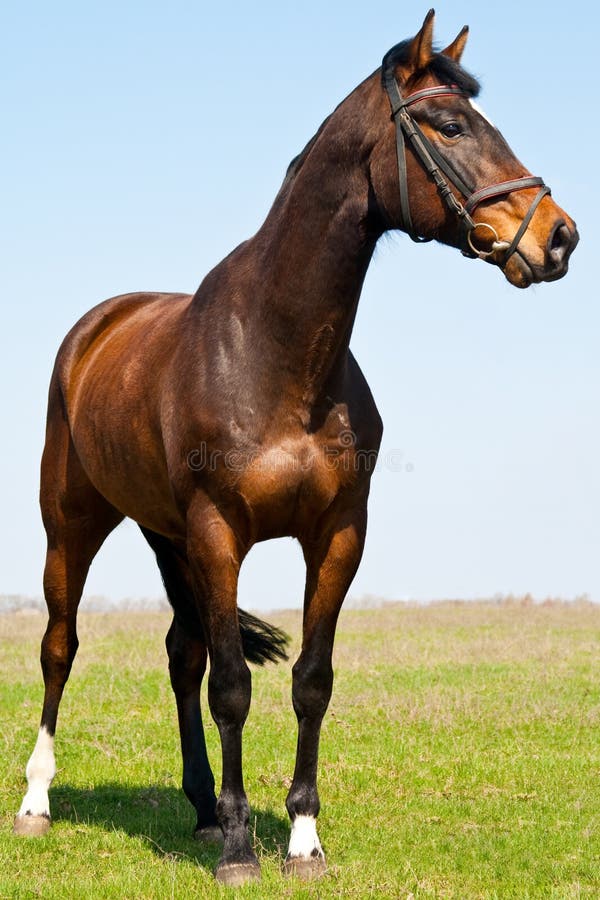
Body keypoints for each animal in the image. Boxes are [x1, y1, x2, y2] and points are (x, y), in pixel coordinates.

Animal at [14, 10, 578, 886]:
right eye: (450, 124)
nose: (558, 238)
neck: (275, 352)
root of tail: (98, 328)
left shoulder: (337, 534)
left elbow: (310, 681)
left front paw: (301, 840)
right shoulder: (219, 533)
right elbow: (233, 686)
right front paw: (242, 852)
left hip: (164, 534)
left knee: (181, 652)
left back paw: (203, 808)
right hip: (73, 524)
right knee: (61, 646)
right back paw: (38, 802)